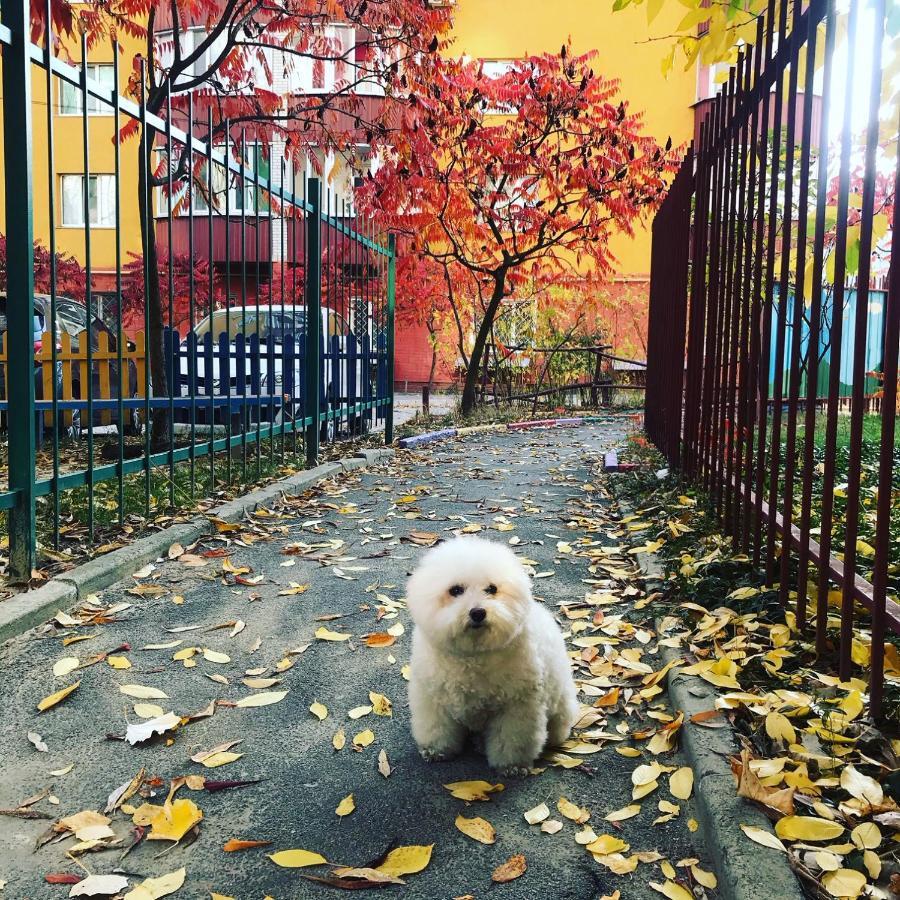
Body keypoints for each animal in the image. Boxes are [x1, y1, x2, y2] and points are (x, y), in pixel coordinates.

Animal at [406, 536, 576, 772]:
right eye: (455, 590)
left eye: (492, 589)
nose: (478, 612)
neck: (473, 654)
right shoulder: (433, 698)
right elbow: (436, 728)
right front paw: (436, 750)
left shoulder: (517, 706)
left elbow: (512, 739)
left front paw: (512, 766)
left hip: (560, 706)